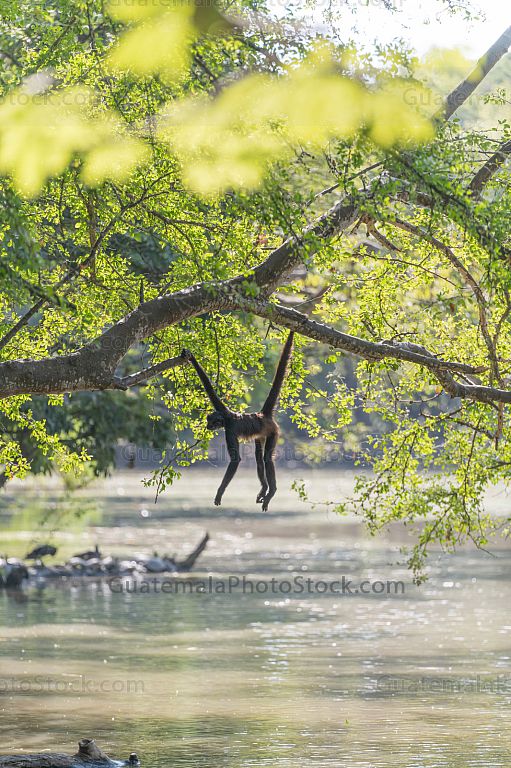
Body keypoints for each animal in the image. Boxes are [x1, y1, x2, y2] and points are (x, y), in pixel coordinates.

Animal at [180, 331, 294, 511]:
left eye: (211, 423)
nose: (208, 426)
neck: (227, 417)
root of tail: (262, 415)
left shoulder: (230, 428)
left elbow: (235, 460)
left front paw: (219, 493)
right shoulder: (220, 408)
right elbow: (208, 387)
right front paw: (190, 357)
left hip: (273, 431)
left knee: (267, 458)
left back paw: (272, 491)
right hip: (261, 433)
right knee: (258, 457)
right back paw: (264, 488)